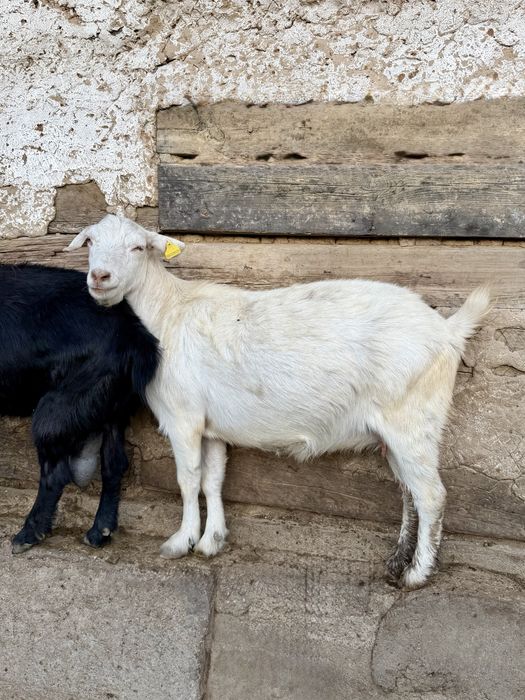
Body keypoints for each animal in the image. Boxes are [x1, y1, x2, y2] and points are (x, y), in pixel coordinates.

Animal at [0, 263, 159, 552]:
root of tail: (134, 336)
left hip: (58, 408)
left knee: (55, 474)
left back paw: (29, 534)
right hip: (110, 406)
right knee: (114, 463)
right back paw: (99, 532)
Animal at [68, 215, 490, 589]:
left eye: (137, 247)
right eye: (90, 242)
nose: (100, 277)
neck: (168, 313)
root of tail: (448, 330)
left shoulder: (183, 417)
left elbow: (187, 479)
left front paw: (180, 541)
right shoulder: (212, 426)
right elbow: (212, 479)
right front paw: (211, 541)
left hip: (412, 420)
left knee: (431, 495)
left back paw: (417, 574)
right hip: (397, 431)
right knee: (408, 492)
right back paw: (398, 559)